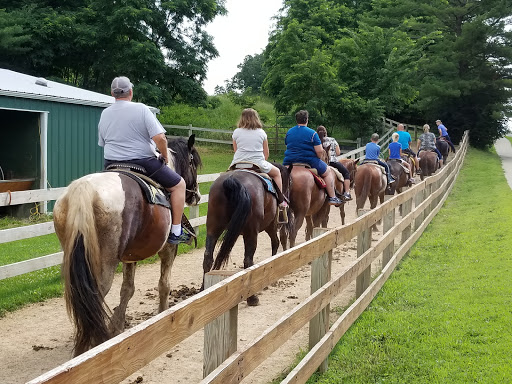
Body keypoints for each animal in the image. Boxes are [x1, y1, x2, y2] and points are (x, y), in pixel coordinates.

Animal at [53, 136, 201, 356]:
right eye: (193, 163)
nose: (197, 195)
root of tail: (83, 190)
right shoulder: (168, 250)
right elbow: (164, 284)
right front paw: (163, 314)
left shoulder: (131, 255)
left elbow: (127, 289)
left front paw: (117, 326)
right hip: (104, 264)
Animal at [201, 163, 288, 306]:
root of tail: (231, 181)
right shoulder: (271, 225)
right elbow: (275, 243)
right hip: (252, 232)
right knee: (248, 260)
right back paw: (252, 298)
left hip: (213, 228)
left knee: (208, 257)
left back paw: (203, 289)